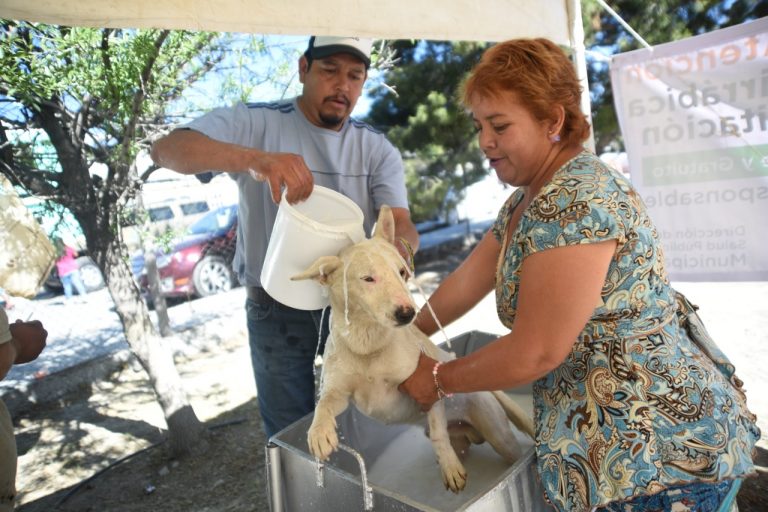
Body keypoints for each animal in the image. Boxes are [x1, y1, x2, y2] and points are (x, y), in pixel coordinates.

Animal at [292, 205, 536, 492]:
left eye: (402, 272)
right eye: (368, 278)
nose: (408, 313)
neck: (368, 344)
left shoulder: (427, 386)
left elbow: (439, 432)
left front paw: (450, 467)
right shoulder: (340, 392)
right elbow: (325, 403)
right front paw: (319, 432)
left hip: (499, 433)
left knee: (504, 447)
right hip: (465, 438)